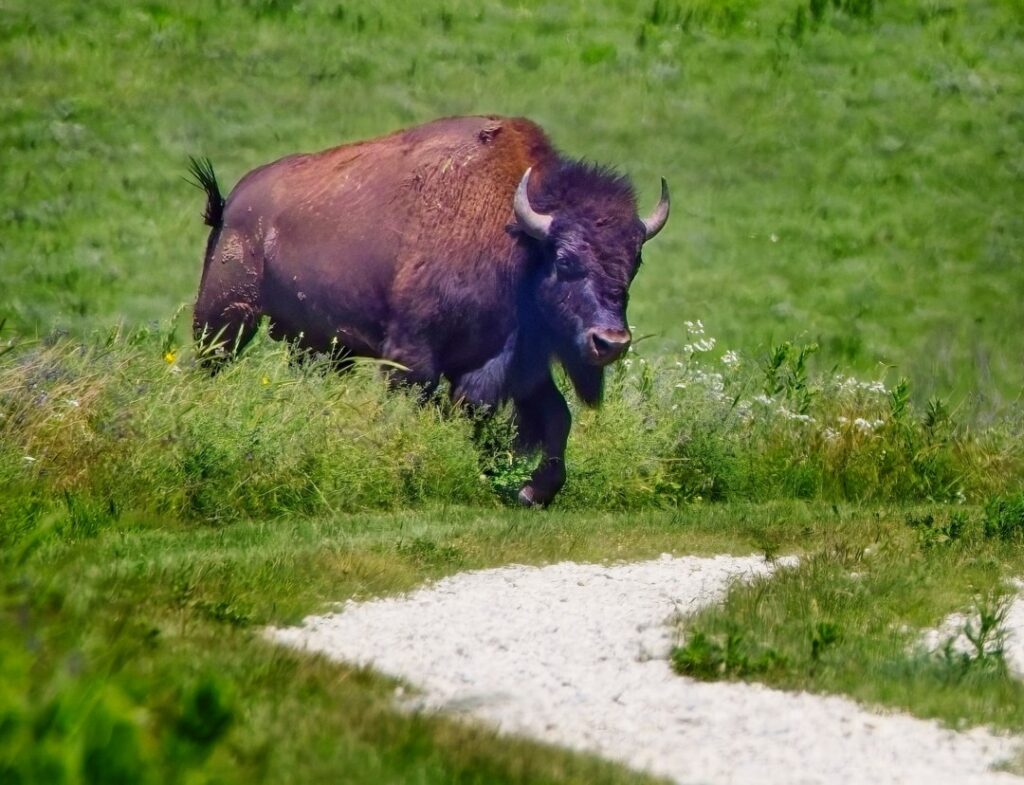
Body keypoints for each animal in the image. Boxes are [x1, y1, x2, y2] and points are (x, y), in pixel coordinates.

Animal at [190, 115, 671, 507]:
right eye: (566, 259)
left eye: (634, 263)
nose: (610, 342)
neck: (515, 241)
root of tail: (235, 202)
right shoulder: (414, 357)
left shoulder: (517, 364)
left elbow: (555, 419)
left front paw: (530, 492)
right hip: (226, 316)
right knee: (210, 364)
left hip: (316, 346)